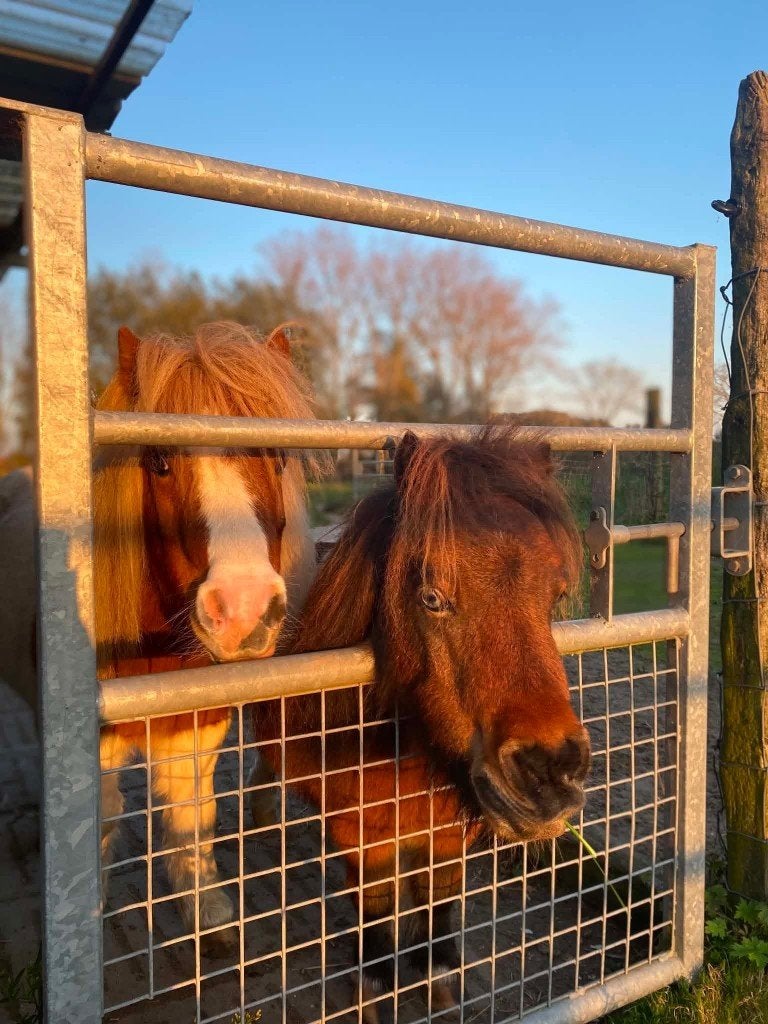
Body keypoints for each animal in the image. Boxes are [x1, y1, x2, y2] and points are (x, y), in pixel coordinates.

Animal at [0, 321, 320, 945]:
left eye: (276, 456)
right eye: (161, 462)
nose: (244, 611)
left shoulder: (196, 724)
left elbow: (192, 815)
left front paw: (206, 911)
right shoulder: (94, 745)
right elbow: (99, 822)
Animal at [249, 427, 591, 1021]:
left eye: (555, 593)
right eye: (432, 597)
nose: (551, 773)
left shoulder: (448, 832)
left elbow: (439, 902)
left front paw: (437, 977)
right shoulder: (363, 838)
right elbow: (377, 912)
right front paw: (373, 988)